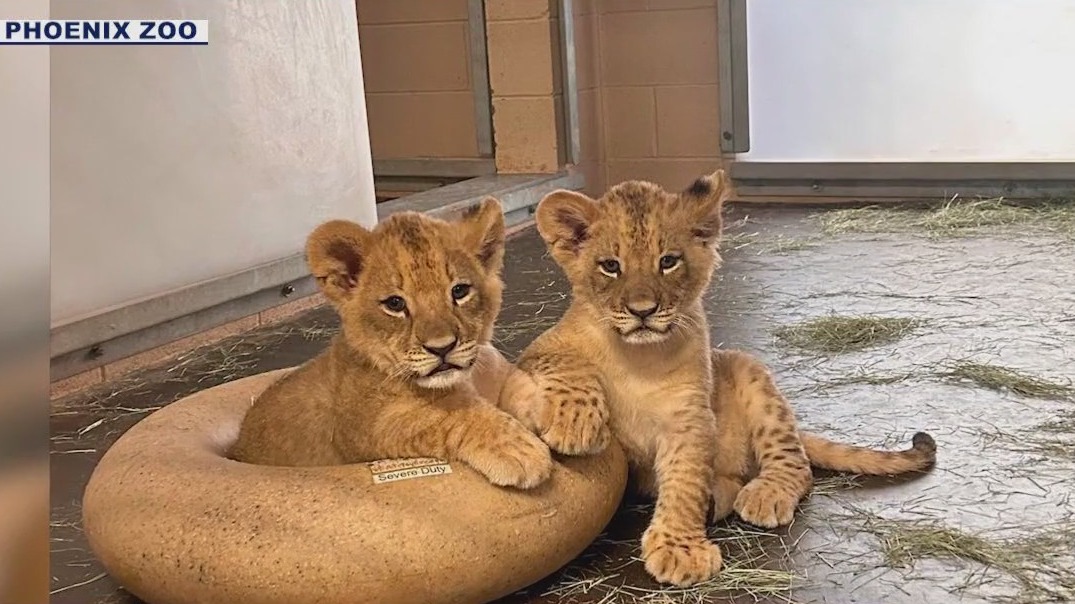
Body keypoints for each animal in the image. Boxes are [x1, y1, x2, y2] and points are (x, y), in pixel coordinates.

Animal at [229, 198, 553, 491]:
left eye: (460, 291)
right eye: (395, 304)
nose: (442, 348)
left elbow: (521, 385)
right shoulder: (369, 428)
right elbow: (447, 414)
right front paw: (519, 449)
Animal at [502, 171, 936, 586]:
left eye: (668, 261)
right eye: (610, 266)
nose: (643, 311)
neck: (637, 356)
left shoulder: (690, 416)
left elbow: (685, 481)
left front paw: (680, 550)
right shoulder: (539, 348)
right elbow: (567, 363)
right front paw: (575, 424)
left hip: (751, 374)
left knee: (796, 464)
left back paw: (763, 494)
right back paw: (718, 497)